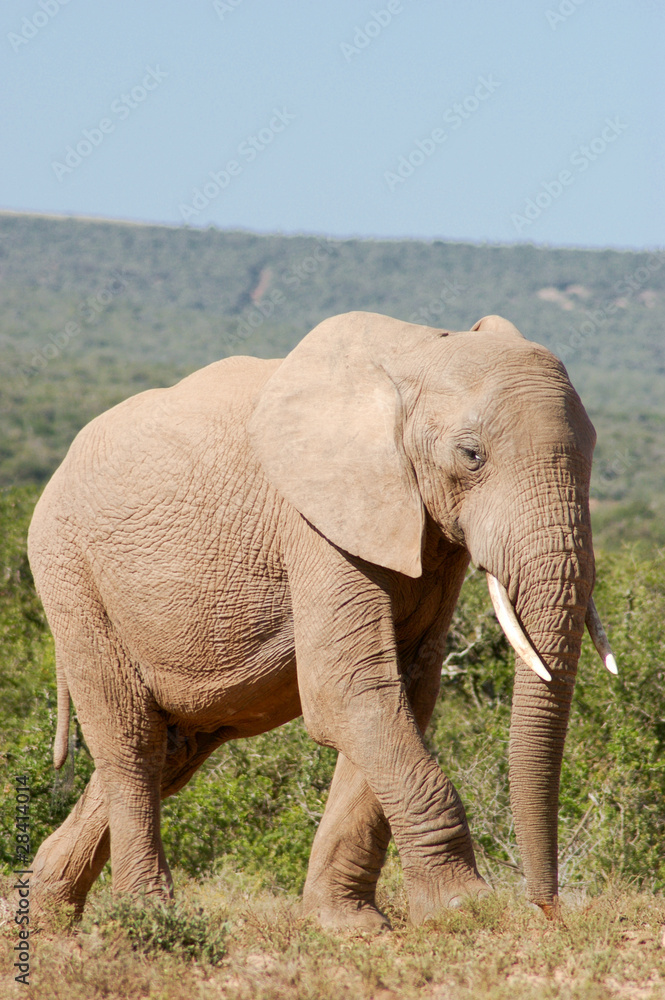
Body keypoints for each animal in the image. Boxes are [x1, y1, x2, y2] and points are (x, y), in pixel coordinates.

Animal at [27, 310, 616, 930]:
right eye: (471, 455)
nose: (547, 909)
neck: (417, 353)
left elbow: (403, 694)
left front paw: (349, 926)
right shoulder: (315, 520)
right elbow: (348, 691)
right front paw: (465, 909)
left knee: (174, 751)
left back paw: (43, 915)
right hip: (70, 574)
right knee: (131, 743)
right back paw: (149, 916)